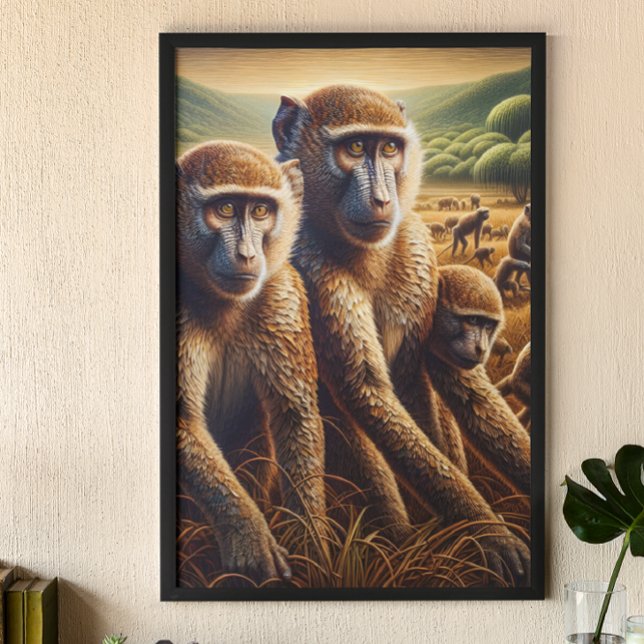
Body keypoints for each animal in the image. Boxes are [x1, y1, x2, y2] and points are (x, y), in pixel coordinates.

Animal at [176, 141, 326, 584]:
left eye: (260, 210)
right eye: (225, 209)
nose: (245, 254)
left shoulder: (282, 294)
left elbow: (295, 413)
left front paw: (310, 541)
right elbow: (184, 422)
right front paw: (250, 536)